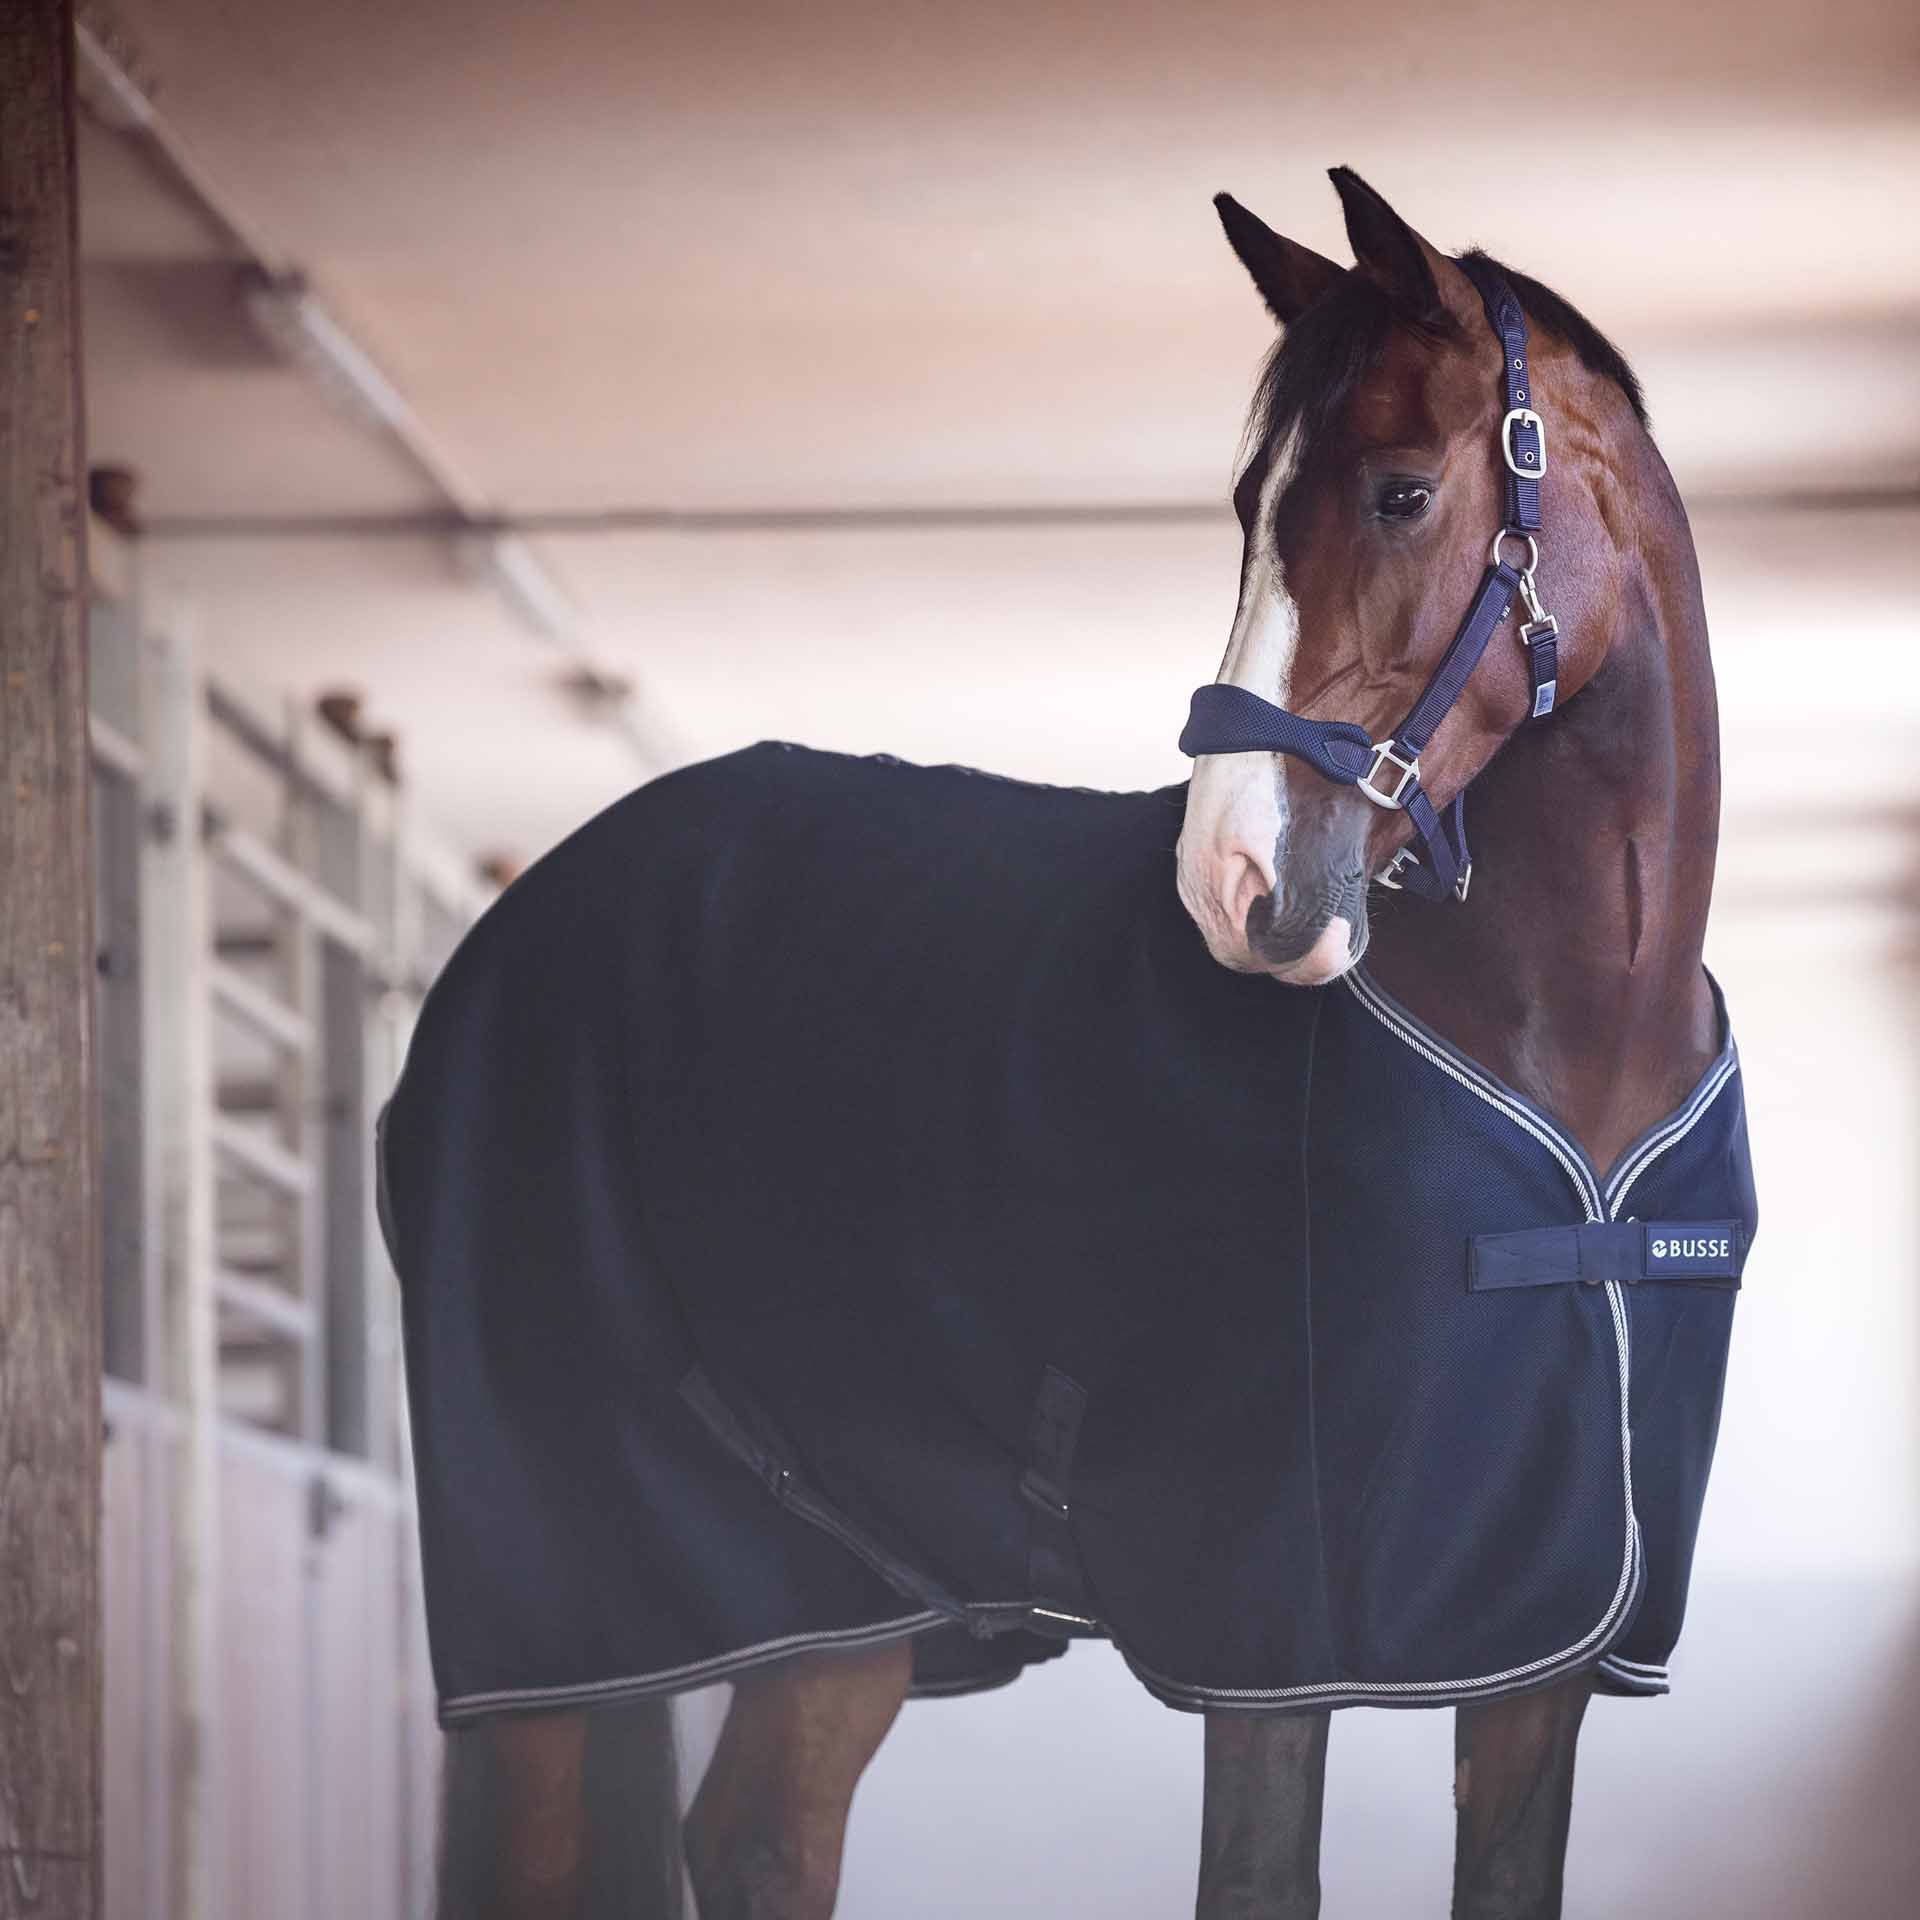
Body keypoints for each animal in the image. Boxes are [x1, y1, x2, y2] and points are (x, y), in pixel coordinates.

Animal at [382, 168, 1745, 1919]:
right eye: (1246, 506)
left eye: (1397, 494)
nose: (1232, 881)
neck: (1569, 1052)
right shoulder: (1274, 1635)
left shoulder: (1542, 1657)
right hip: (566, 1621)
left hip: (835, 1599)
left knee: (757, 1834)